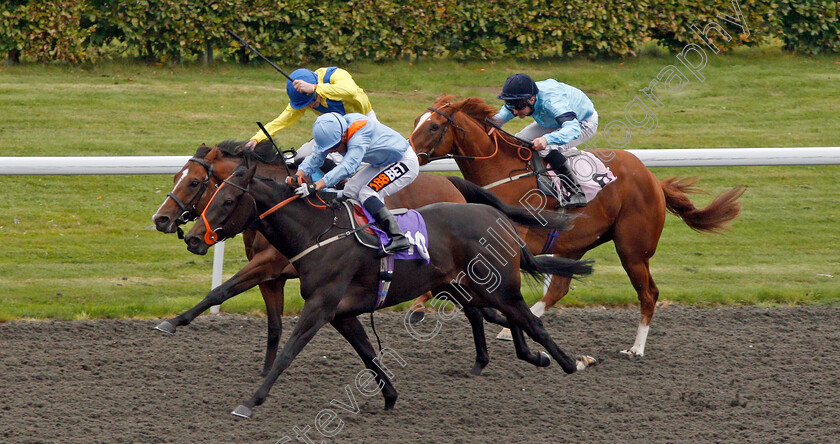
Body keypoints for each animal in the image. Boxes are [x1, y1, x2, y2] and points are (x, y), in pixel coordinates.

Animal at [149, 141, 466, 374]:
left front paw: (171, 322)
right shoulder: (271, 278)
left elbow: (220, 291)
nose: (160, 219)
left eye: (194, 182)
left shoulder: (268, 263)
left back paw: (419, 310)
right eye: (175, 176)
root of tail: (451, 184)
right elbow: (273, 326)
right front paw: (266, 373)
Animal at [177, 154, 596, 418]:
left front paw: (251, 401)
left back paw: (570, 363)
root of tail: (499, 219)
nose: (193, 238)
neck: (318, 234)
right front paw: (390, 397)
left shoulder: (320, 306)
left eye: (225, 199)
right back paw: (531, 357)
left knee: (531, 322)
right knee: (502, 318)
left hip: (498, 286)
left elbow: (287, 353)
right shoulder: (340, 313)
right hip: (466, 286)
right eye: (211, 195)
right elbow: (368, 354)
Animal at [410, 94, 744, 358]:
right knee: (559, 288)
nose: (408, 155)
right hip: (575, 243)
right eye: (417, 120)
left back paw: (636, 348)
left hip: (632, 250)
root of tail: (653, 180)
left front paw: (419, 306)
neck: (502, 173)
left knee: (649, 293)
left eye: (434, 126)